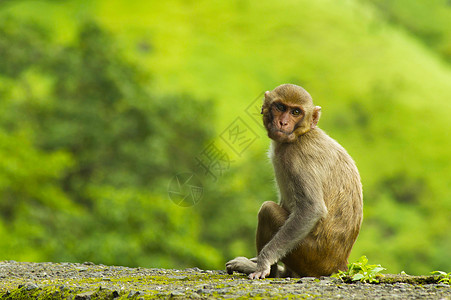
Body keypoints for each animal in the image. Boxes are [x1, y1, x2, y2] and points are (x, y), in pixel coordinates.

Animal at [226, 84, 364, 278]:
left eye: (296, 112)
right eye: (280, 107)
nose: (283, 123)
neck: (301, 135)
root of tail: (339, 264)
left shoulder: (299, 159)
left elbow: (311, 209)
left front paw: (263, 263)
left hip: (310, 256)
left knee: (267, 211)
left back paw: (269, 272)